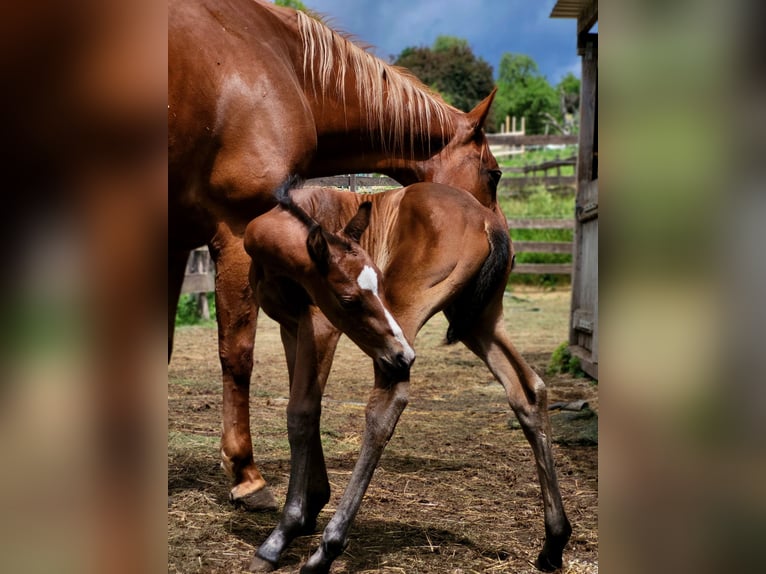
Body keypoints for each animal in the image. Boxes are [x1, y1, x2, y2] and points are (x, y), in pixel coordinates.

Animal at [169, 0, 501, 509]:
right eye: (494, 174)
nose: (501, 239)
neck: (279, 60)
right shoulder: (237, 228)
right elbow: (238, 352)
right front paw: (247, 475)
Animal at [245, 183, 572, 573]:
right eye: (350, 299)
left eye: (375, 284)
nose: (405, 355)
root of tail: (487, 219)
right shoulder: (290, 327)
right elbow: (307, 412)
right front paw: (309, 508)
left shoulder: (320, 325)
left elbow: (302, 413)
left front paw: (282, 534)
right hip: (479, 321)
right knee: (529, 390)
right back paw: (554, 542)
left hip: (407, 319)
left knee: (387, 404)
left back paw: (326, 550)